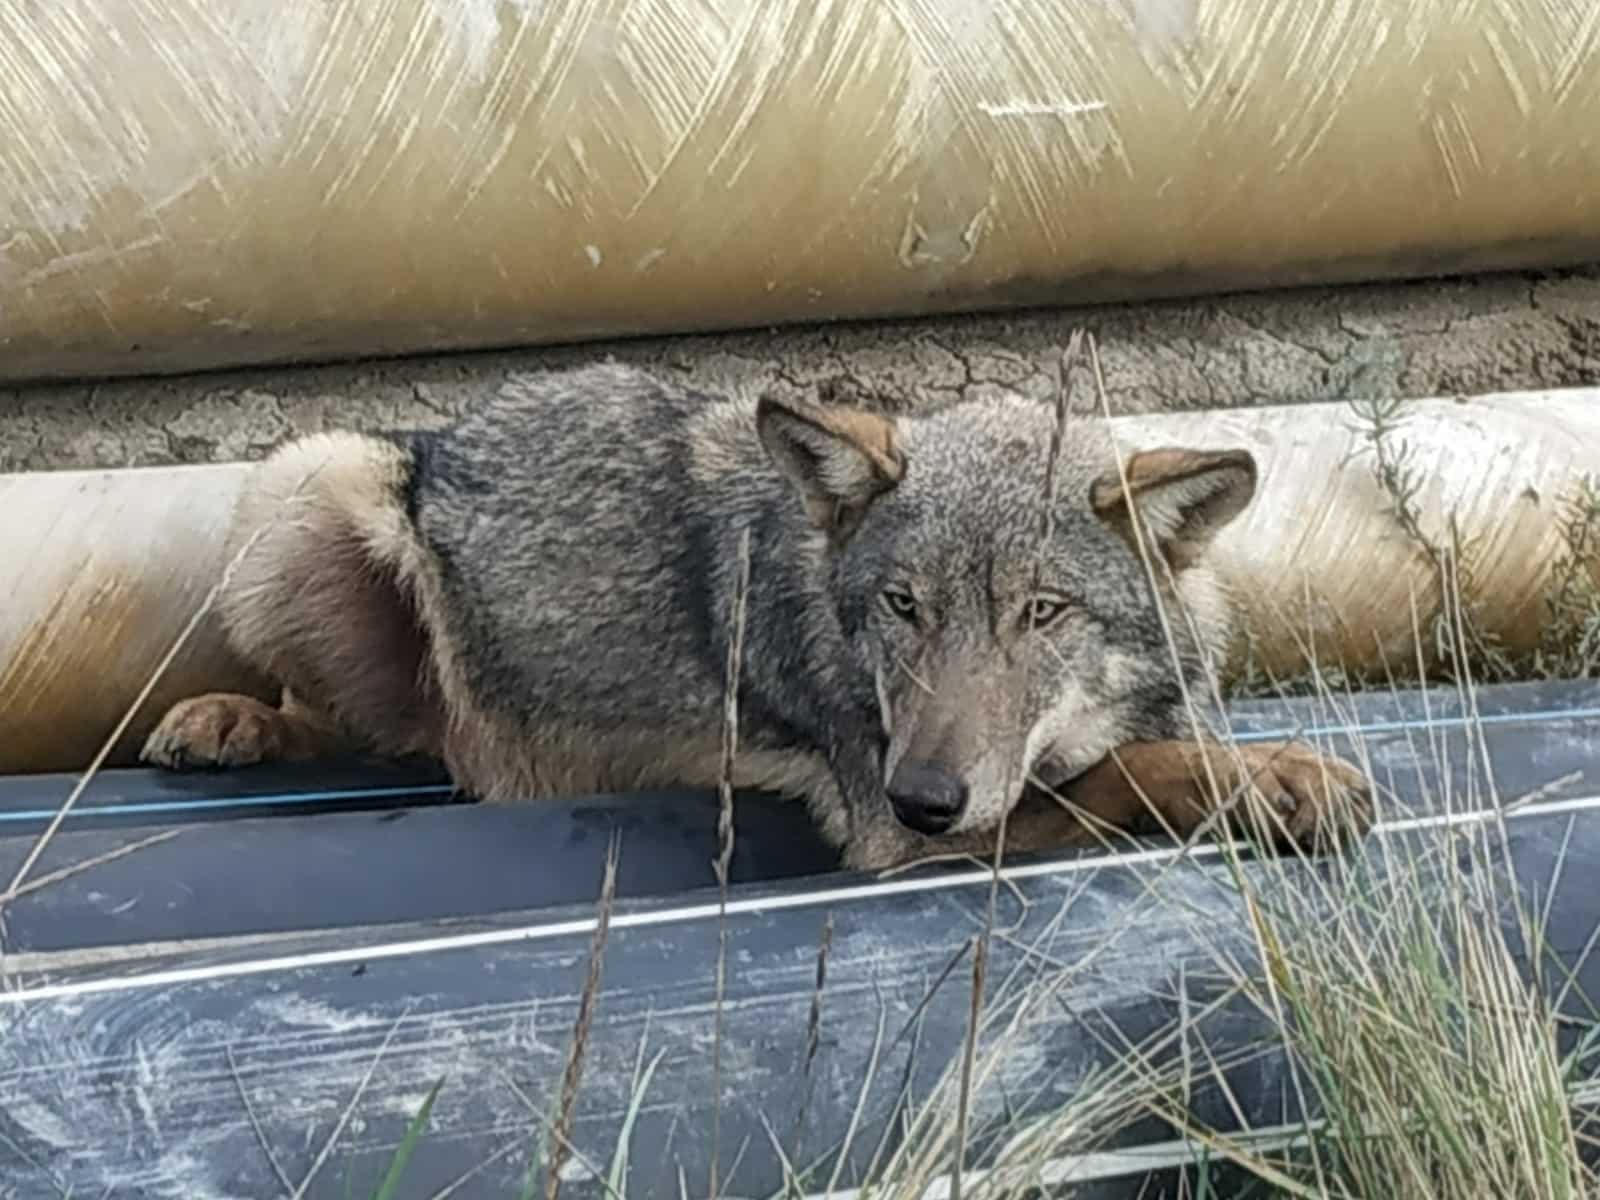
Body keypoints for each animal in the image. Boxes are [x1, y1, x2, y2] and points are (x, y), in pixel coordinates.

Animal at [137, 361, 1369, 870]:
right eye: (903, 608)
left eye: (1043, 613)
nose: (926, 797)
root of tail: (450, 429)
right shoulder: (895, 841)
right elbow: (1136, 773)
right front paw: (1279, 779)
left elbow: (1151, 750)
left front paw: (1264, 770)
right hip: (306, 478)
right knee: (354, 725)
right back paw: (230, 721)